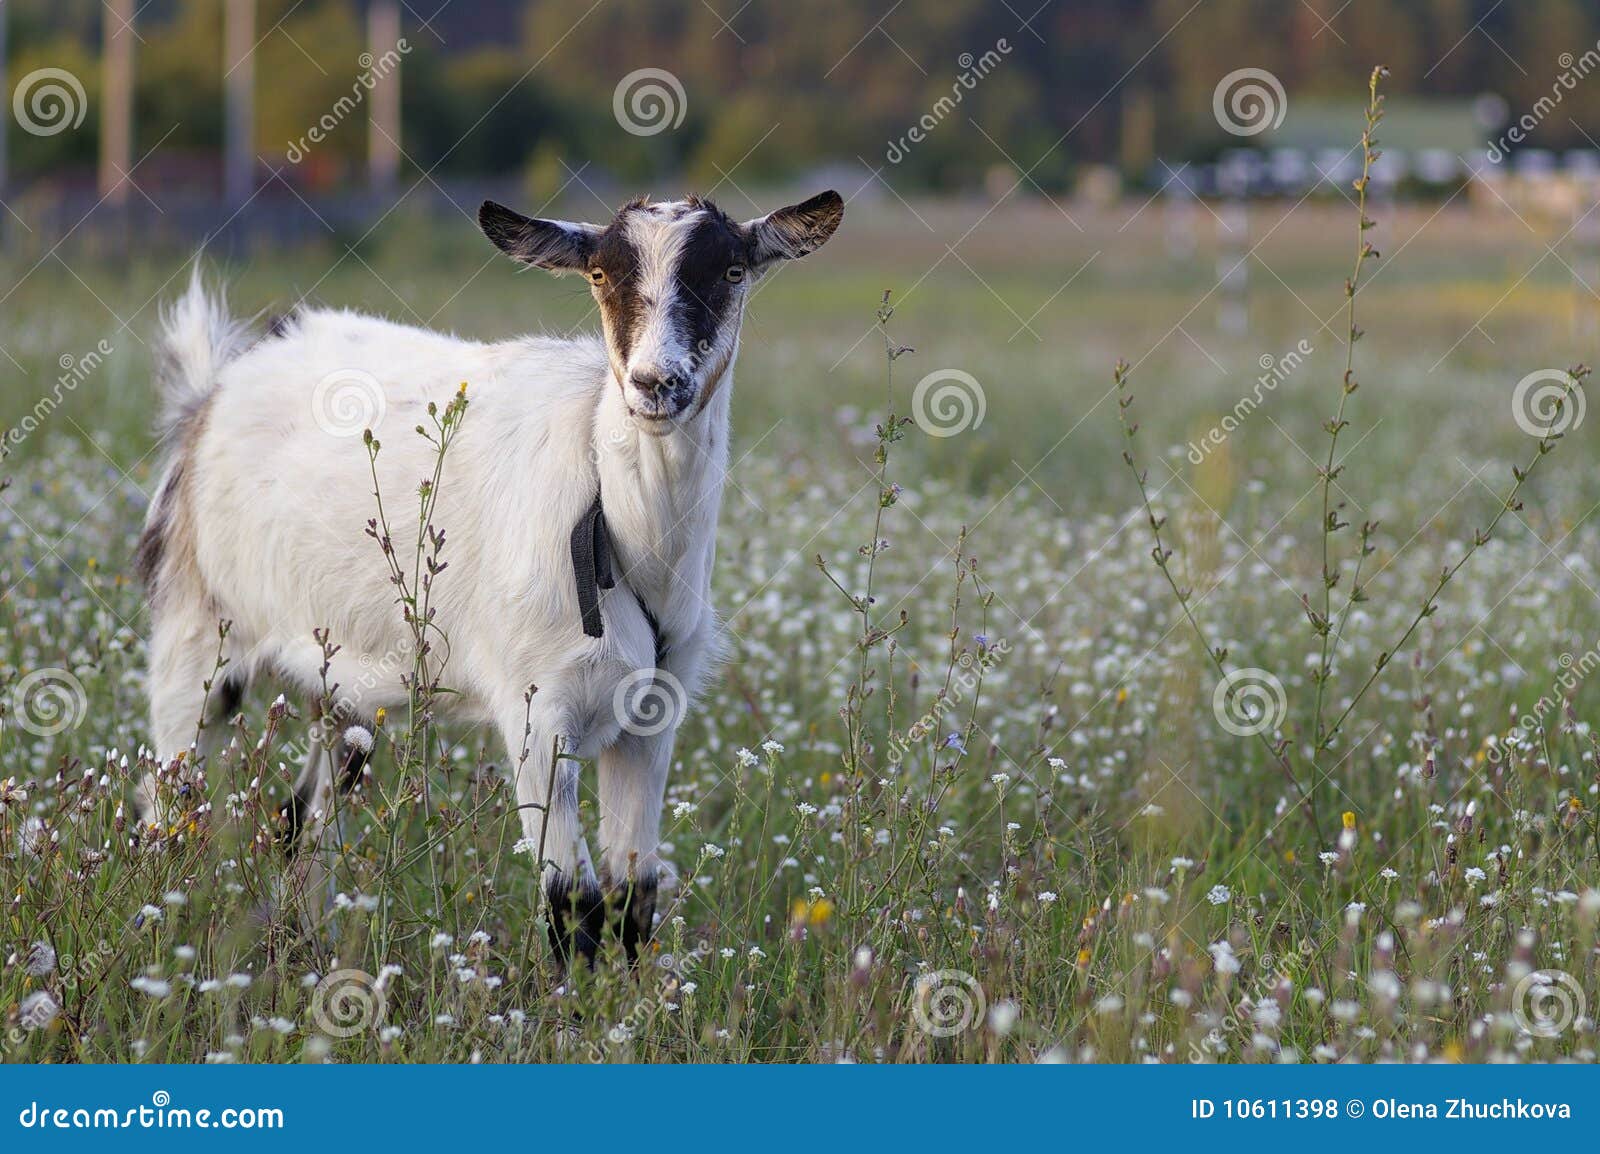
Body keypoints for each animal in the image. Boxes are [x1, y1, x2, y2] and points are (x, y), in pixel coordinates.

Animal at [134, 190, 844, 967]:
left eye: (732, 271)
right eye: (600, 275)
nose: (656, 384)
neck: (618, 523)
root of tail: (216, 385)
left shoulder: (654, 714)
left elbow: (634, 898)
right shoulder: (537, 710)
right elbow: (572, 904)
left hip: (337, 682)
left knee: (303, 821)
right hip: (198, 629)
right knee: (168, 803)